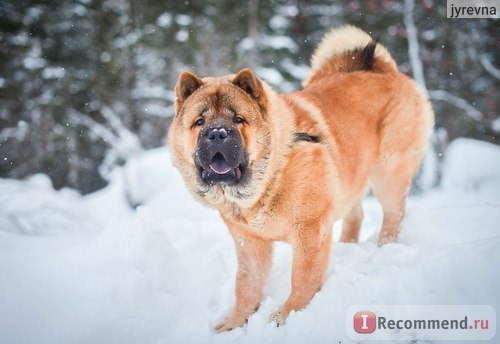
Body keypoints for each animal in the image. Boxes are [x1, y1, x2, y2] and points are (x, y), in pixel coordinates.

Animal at [168, 25, 434, 332]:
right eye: (199, 122)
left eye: (238, 120)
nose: (217, 133)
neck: (270, 178)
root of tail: (384, 69)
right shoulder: (249, 243)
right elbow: (246, 285)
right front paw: (234, 323)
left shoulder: (310, 230)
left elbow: (302, 278)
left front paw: (287, 316)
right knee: (355, 215)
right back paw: (347, 247)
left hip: (389, 174)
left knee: (393, 214)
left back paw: (385, 247)